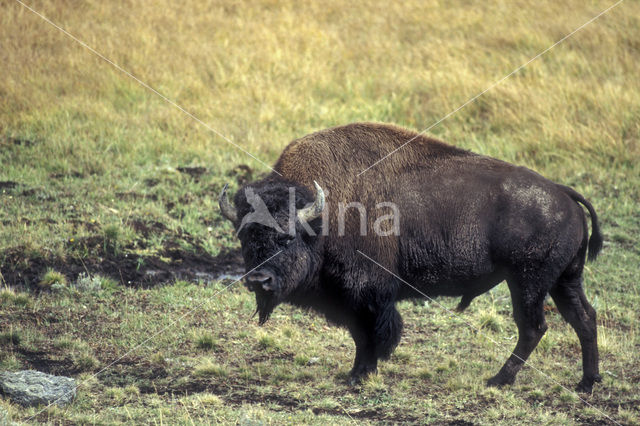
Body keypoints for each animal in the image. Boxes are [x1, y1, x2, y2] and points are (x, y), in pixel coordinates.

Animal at [218, 122, 604, 392]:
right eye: (245, 238)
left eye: (286, 238)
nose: (259, 280)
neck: (322, 216)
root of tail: (563, 194)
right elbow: (362, 335)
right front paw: (358, 372)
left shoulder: (367, 294)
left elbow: (371, 334)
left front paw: (359, 374)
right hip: (564, 280)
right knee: (584, 317)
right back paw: (586, 383)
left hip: (527, 282)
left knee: (533, 327)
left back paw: (499, 380)